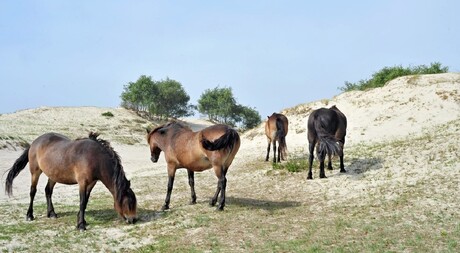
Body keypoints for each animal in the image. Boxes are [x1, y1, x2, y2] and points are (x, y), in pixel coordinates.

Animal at [4, 132, 137, 231]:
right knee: (33, 192)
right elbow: (82, 202)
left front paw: (81, 220)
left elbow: (85, 201)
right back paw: (29, 215)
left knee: (48, 191)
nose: (134, 220)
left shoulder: (91, 183)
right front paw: (81, 226)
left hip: (53, 175)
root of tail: (34, 142)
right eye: (128, 203)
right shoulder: (82, 182)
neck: (95, 157)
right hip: (35, 172)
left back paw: (51, 213)